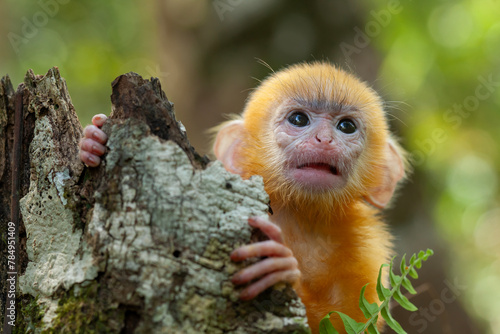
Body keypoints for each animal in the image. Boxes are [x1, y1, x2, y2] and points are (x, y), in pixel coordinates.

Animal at [79, 62, 406, 332]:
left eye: (346, 126)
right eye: (298, 119)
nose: (324, 140)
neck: (299, 214)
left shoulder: (368, 247)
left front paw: (282, 267)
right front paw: (92, 141)